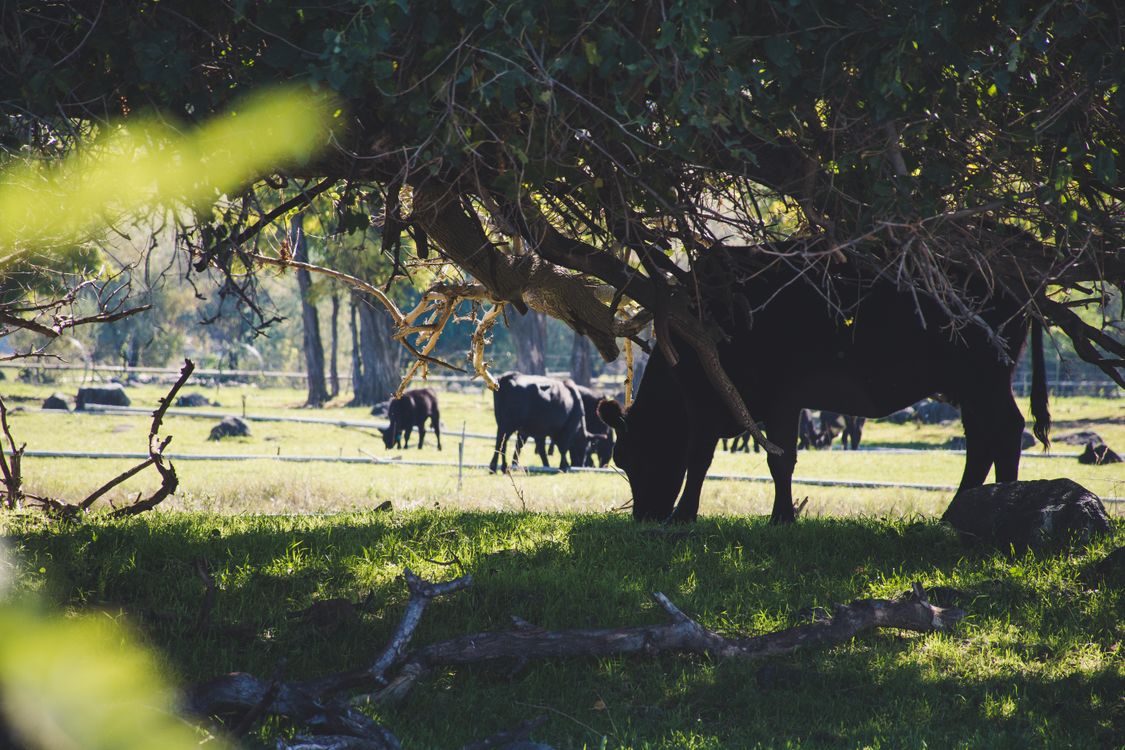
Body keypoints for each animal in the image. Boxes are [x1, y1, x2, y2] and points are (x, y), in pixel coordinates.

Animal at [597, 249, 1049, 524]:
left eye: (630, 457)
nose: (645, 516)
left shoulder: (757, 400)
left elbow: (745, 459)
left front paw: (771, 516)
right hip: (969, 386)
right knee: (981, 441)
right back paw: (958, 512)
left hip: (985, 377)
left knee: (1006, 429)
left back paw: (1004, 504)